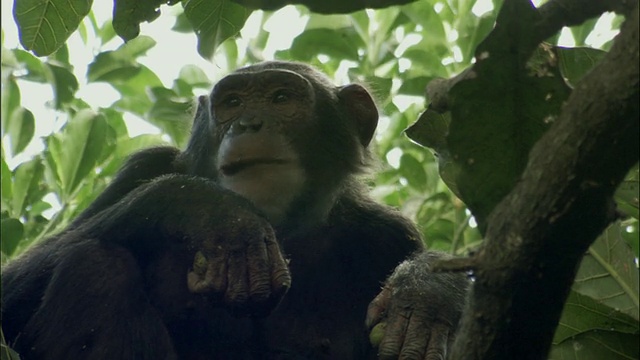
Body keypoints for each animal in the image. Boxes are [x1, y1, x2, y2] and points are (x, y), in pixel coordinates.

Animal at [1, 60, 470, 358]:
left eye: (281, 98)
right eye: (232, 103)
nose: (248, 124)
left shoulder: (388, 235)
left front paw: (425, 292)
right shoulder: (143, 168)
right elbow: (10, 294)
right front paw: (214, 213)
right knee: (95, 266)